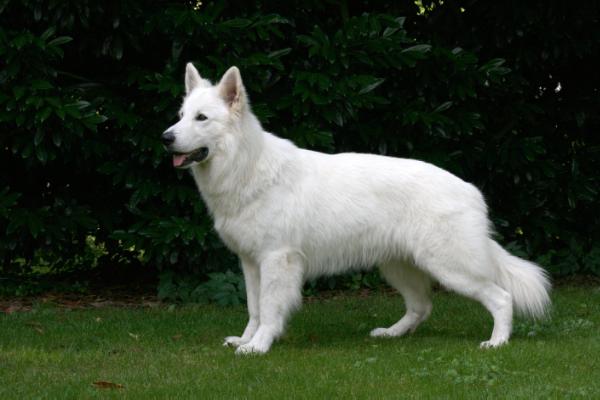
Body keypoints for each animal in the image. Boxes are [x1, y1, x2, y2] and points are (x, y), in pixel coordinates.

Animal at [162, 62, 552, 354]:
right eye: (180, 115)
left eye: (201, 118)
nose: (166, 138)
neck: (246, 166)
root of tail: (471, 190)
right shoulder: (250, 263)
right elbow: (254, 307)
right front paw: (245, 339)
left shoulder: (276, 261)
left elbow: (270, 309)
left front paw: (258, 346)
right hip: (398, 266)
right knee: (421, 306)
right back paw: (392, 334)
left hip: (451, 267)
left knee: (500, 298)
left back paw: (497, 342)